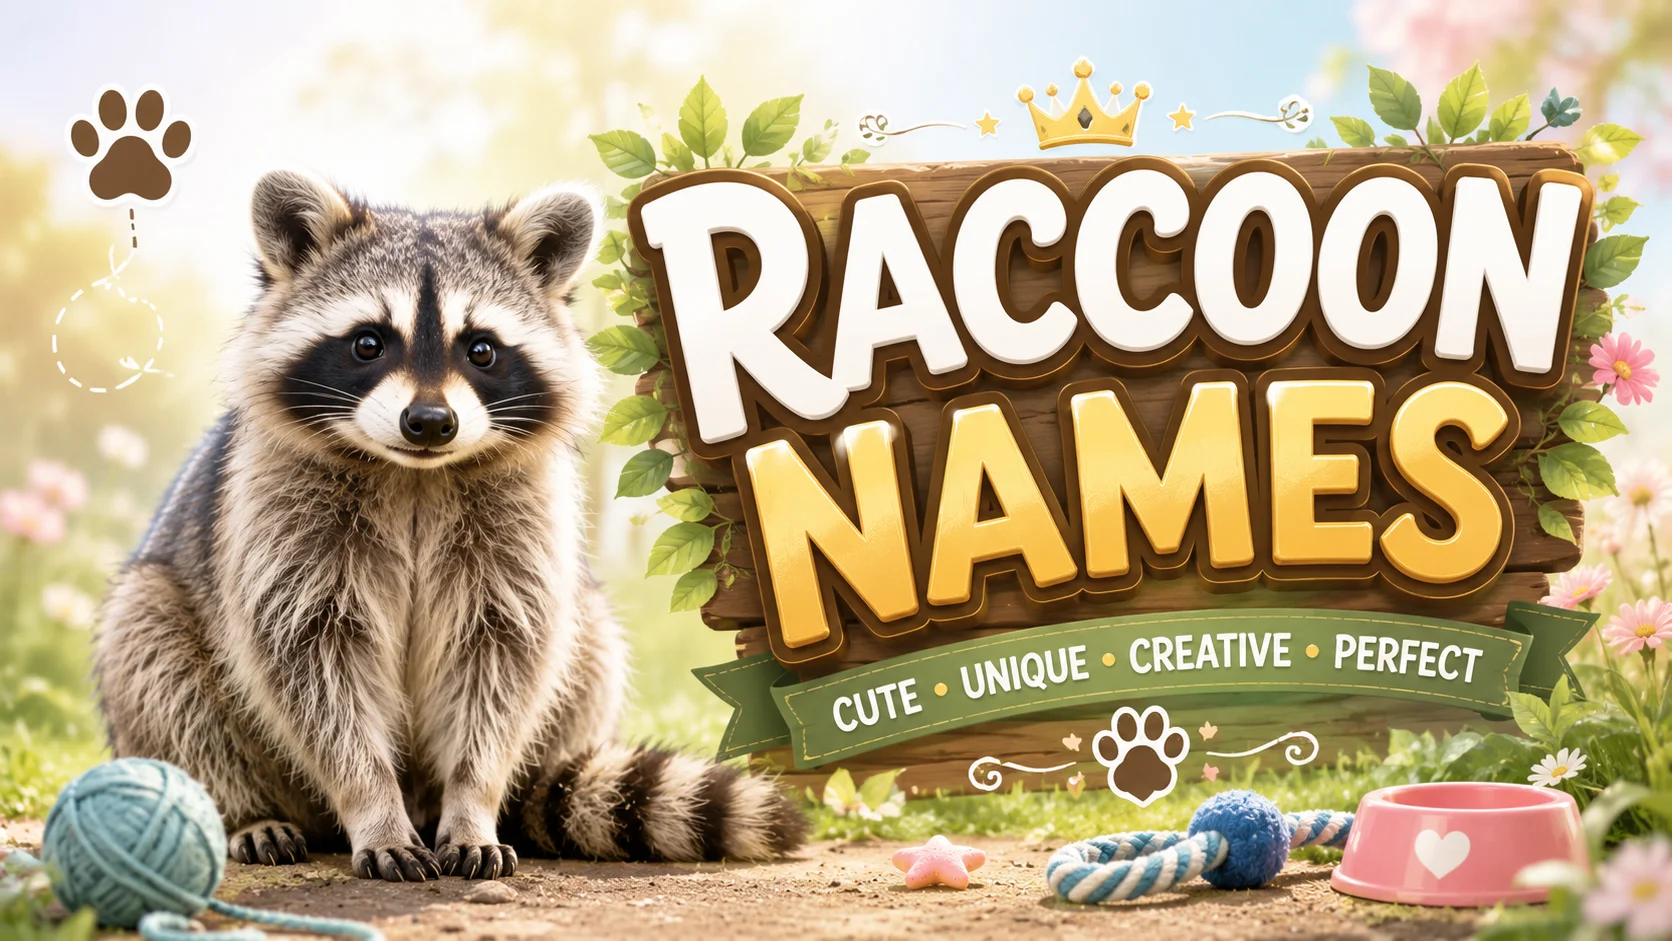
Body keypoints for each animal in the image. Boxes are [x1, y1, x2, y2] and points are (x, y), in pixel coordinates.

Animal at [93, 171, 805, 881]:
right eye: (368, 343)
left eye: (482, 349)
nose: (430, 422)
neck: (415, 474)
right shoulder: (277, 513)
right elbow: (311, 662)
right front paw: (371, 802)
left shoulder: (522, 519)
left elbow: (503, 656)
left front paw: (472, 802)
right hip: (161, 640)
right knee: (156, 659)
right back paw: (245, 808)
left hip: (579, 621)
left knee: (590, 635)